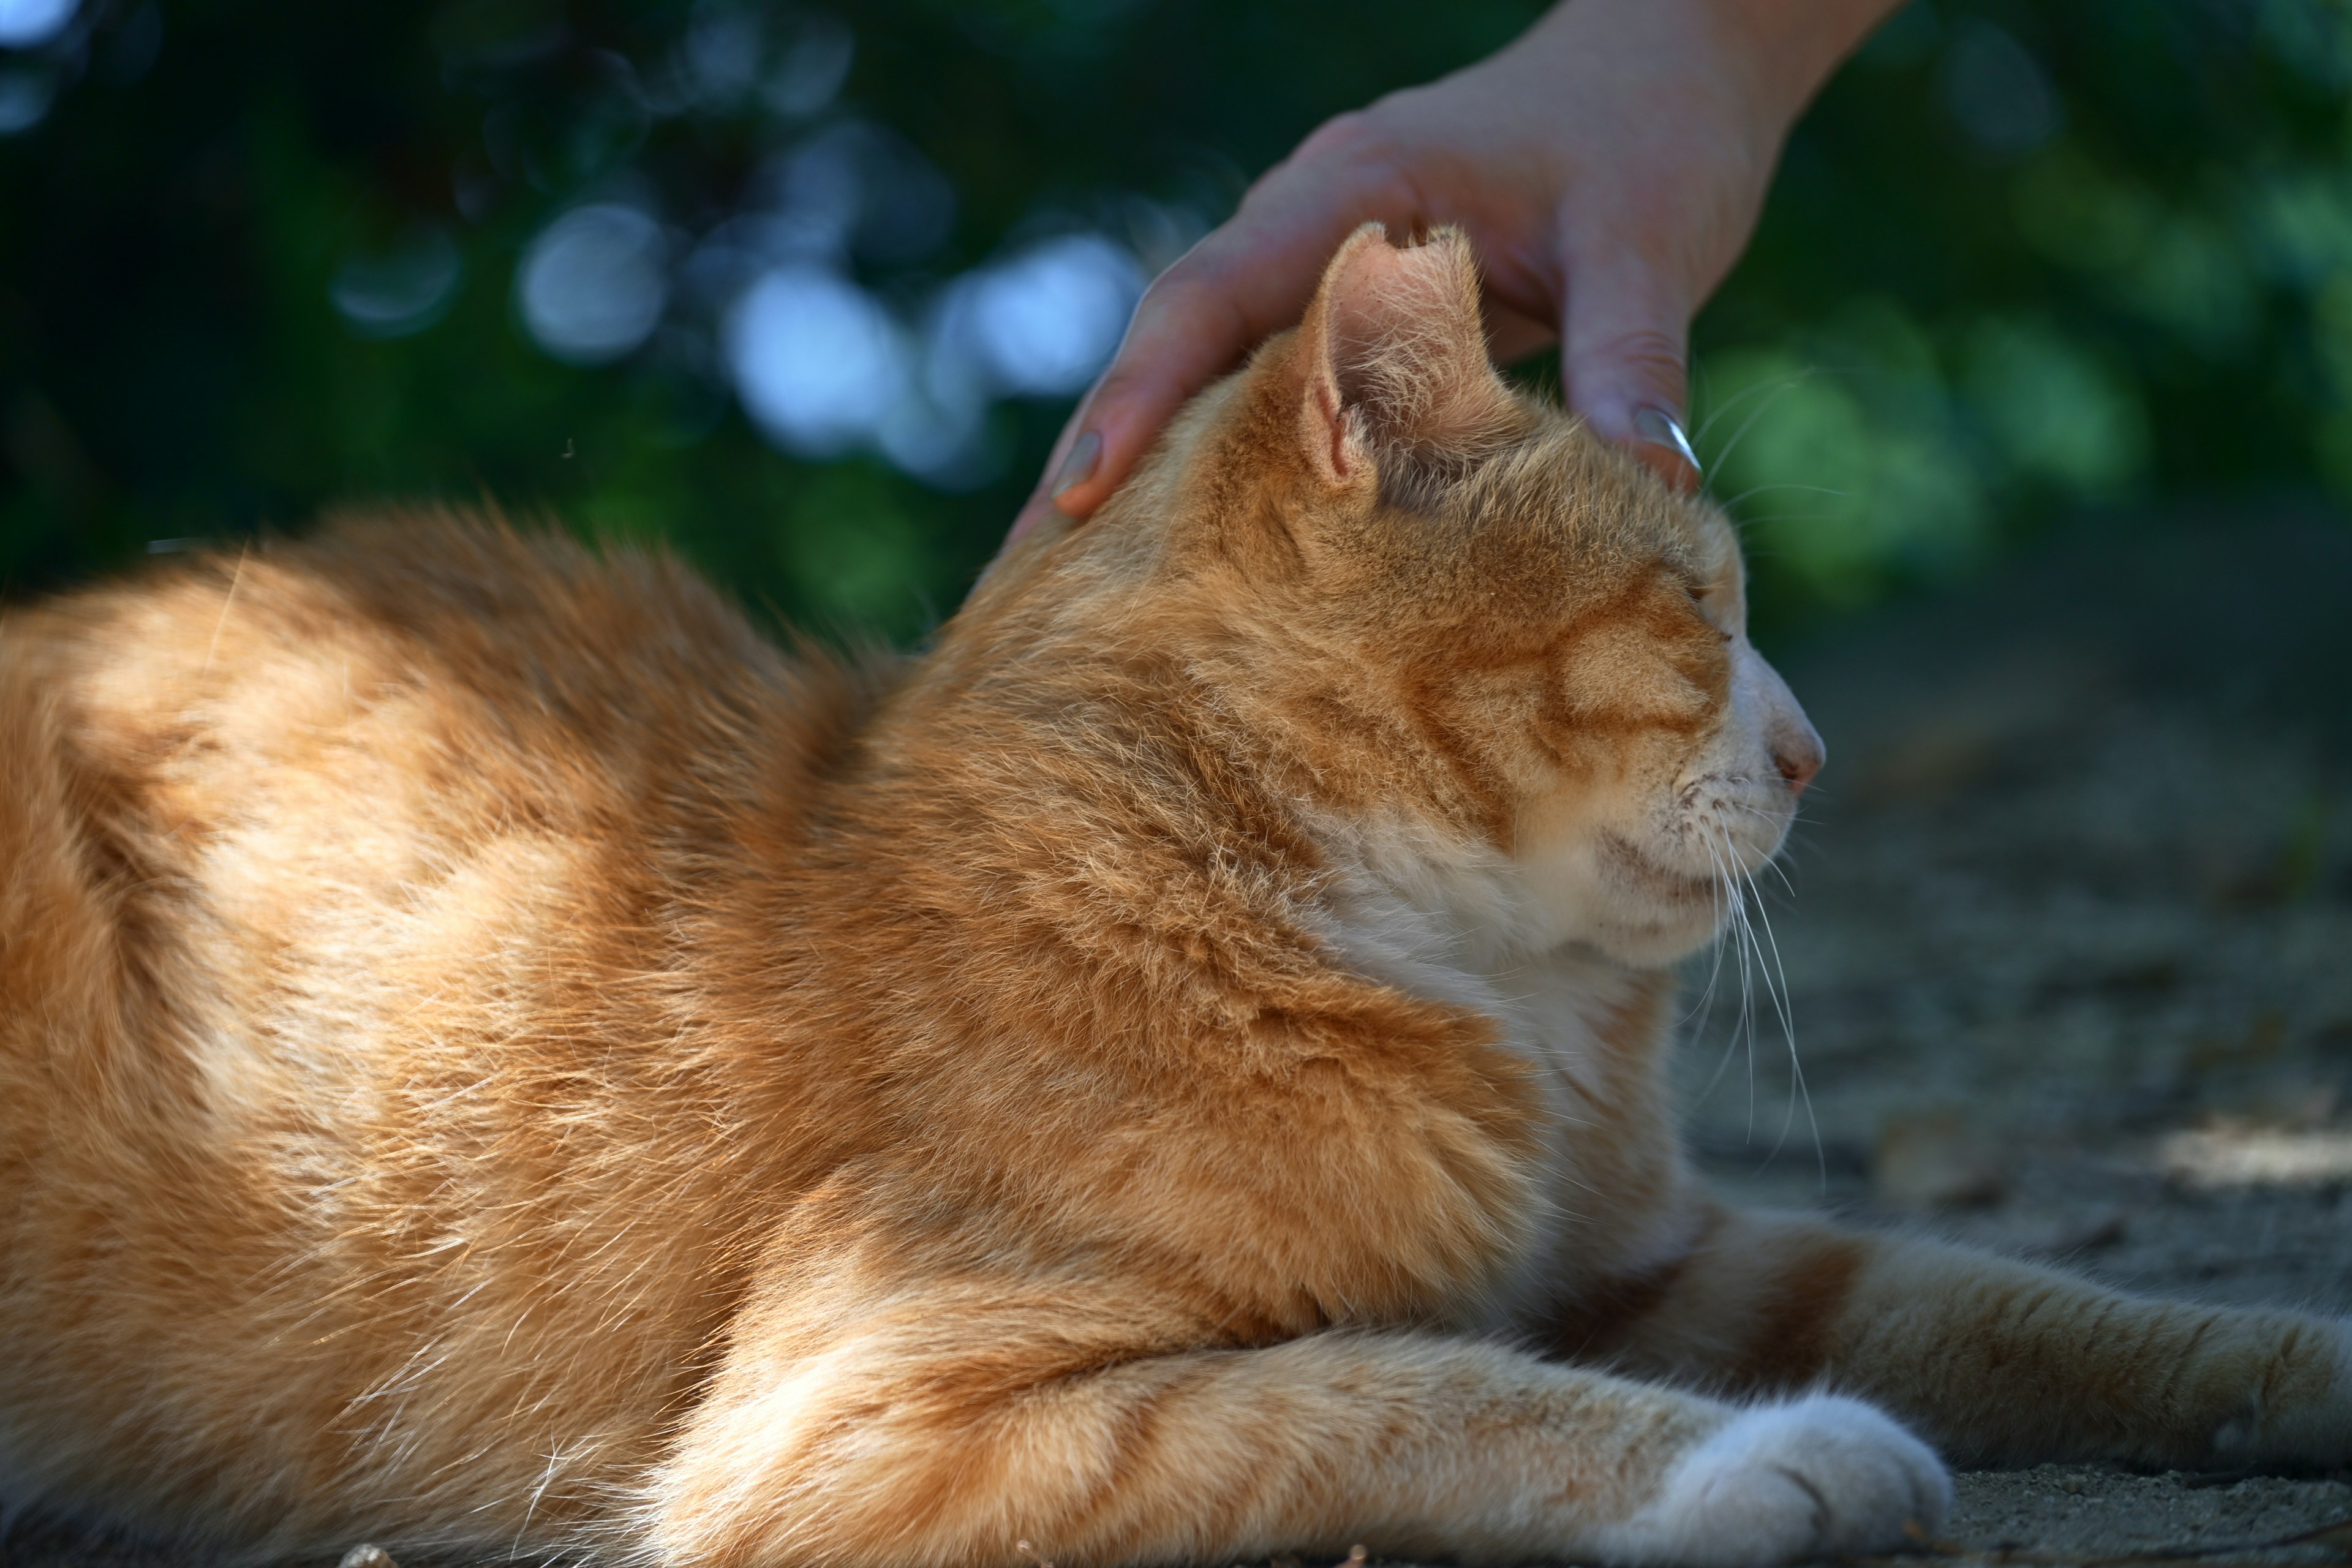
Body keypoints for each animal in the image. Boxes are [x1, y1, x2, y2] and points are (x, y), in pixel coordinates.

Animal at [4, 223, 2352, 1568]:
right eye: (1702, 610)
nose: (1811, 754)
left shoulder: (1673, 1266)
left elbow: (2036, 1308)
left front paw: (2292, 1366)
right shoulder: (872, 1424)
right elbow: (1400, 1392)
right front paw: (1754, 1471)